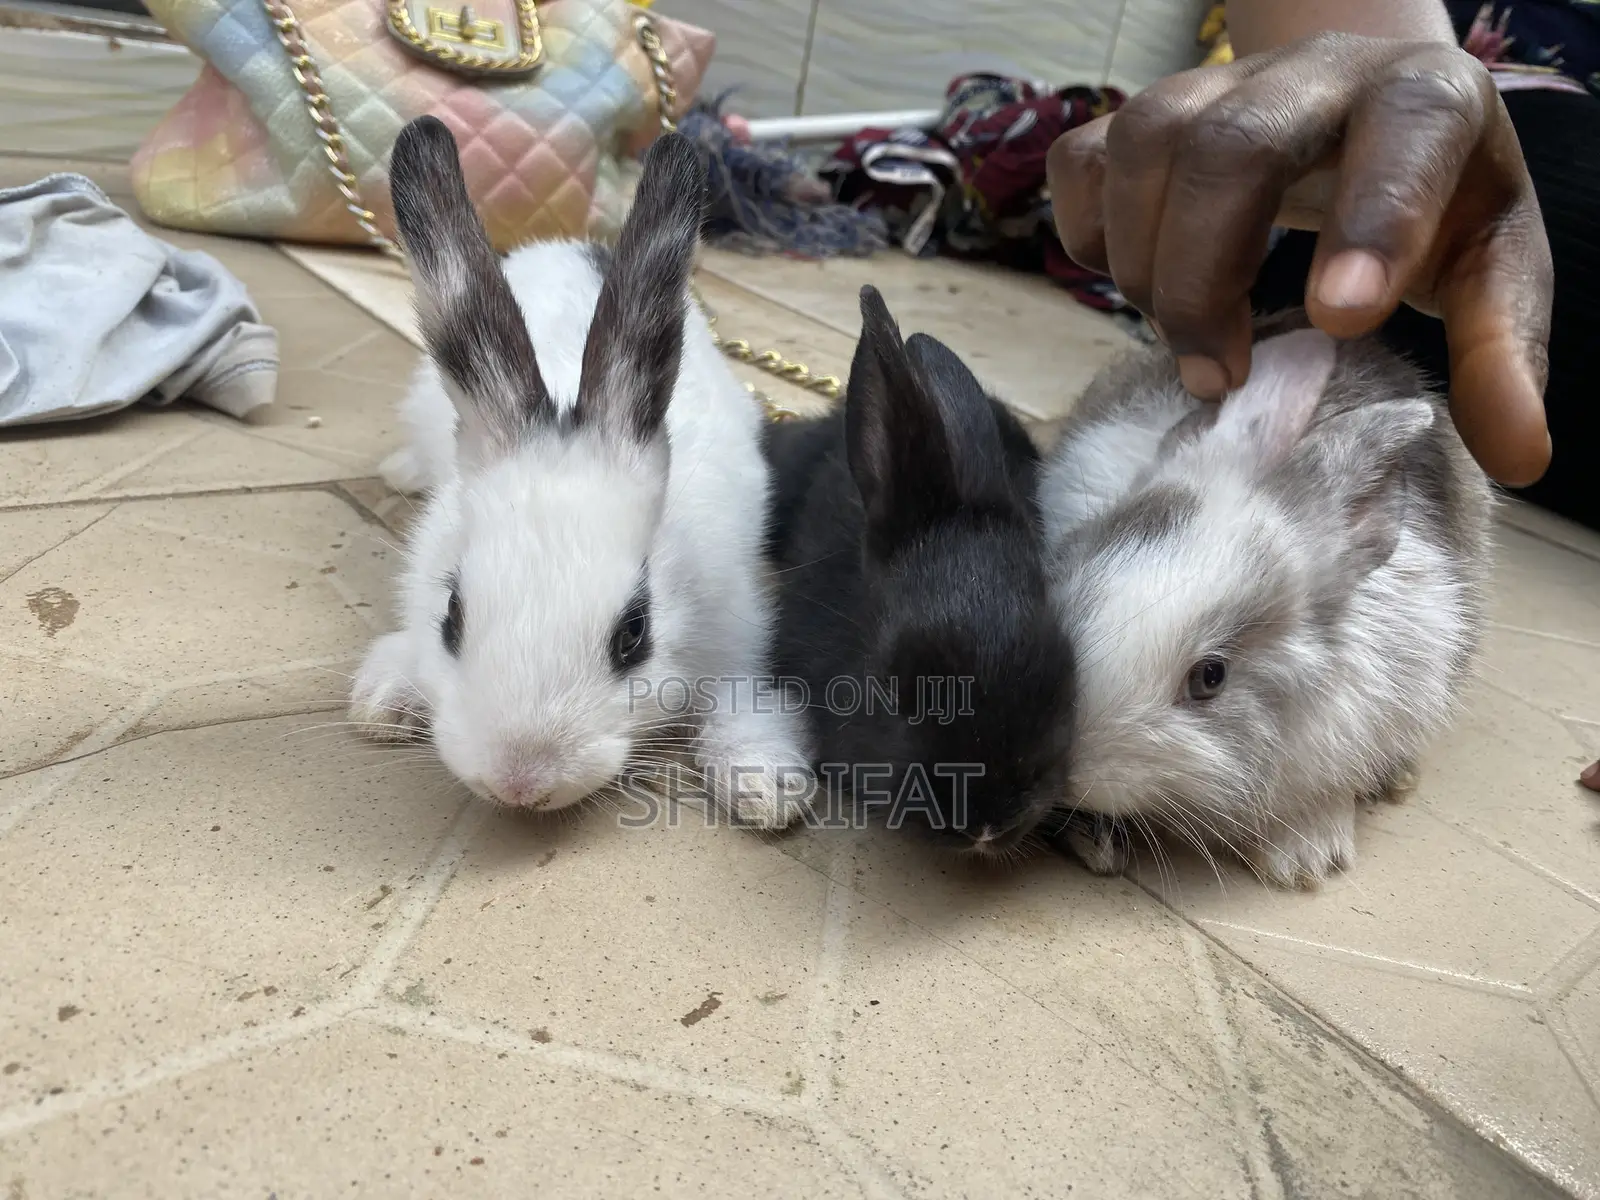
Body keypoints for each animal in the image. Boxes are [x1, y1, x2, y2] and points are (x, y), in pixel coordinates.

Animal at [349, 116, 813, 829]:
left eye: (634, 635)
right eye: (451, 616)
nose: (519, 782)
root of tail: (574, 245)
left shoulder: (740, 639)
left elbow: (744, 705)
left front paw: (765, 788)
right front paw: (383, 699)